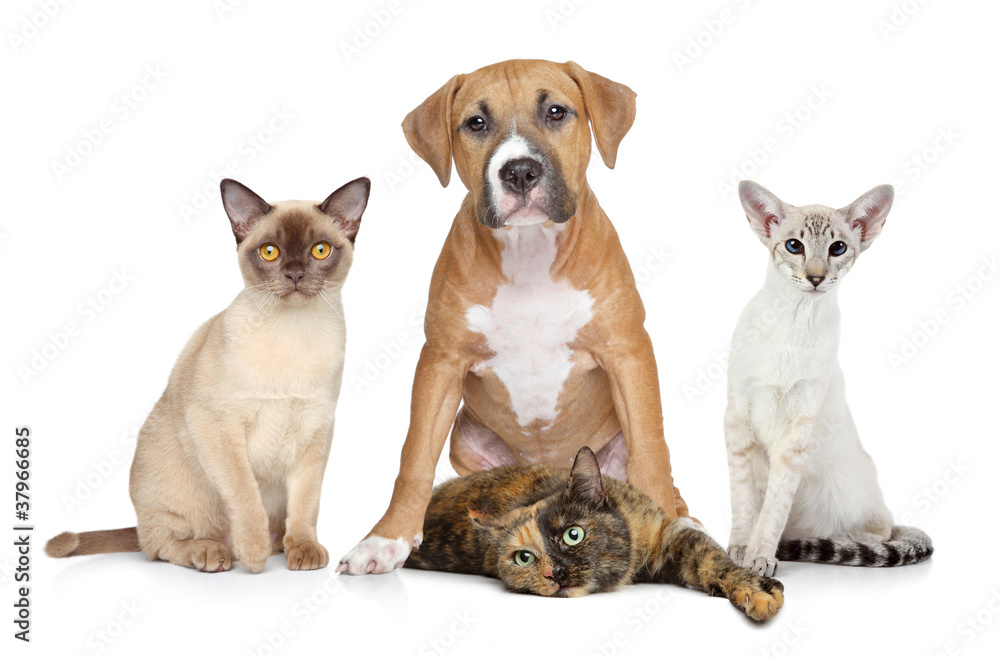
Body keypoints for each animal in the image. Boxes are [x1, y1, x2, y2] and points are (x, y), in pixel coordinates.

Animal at [45, 177, 370, 572]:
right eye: (270, 252)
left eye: (320, 251)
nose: (294, 274)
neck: (292, 335)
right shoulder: (216, 426)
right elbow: (244, 492)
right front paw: (254, 554)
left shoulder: (316, 431)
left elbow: (307, 503)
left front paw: (305, 550)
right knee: (161, 545)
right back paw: (217, 553)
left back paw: (277, 546)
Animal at [340, 61, 692, 576]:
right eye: (475, 123)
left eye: (555, 112)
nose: (521, 171)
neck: (530, 251)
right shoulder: (440, 362)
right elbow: (415, 456)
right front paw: (385, 540)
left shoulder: (627, 352)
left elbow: (652, 450)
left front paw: (668, 528)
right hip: (467, 438)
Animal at [402, 444, 784, 616]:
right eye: (524, 558)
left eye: (573, 534)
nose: (554, 572)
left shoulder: (670, 537)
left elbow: (713, 562)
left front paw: (753, 588)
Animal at [724, 179, 932, 576]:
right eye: (794, 246)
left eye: (838, 248)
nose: (816, 277)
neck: (792, 319)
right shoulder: (738, 421)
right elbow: (745, 505)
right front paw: (740, 551)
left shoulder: (796, 433)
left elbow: (774, 507)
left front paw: (760, 556)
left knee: (879, 535)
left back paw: (818, 545)